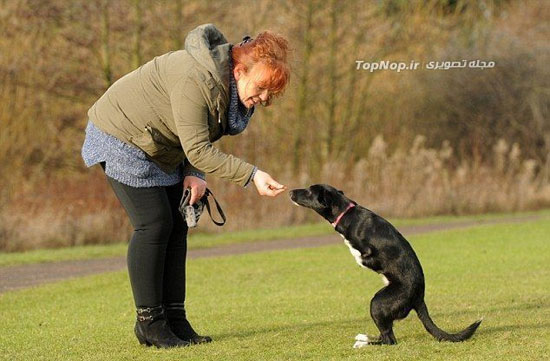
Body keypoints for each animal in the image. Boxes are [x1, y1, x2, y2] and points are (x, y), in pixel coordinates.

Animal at [288, 184, 484, 344]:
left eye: (309, 191)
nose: (290, 192)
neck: (346, 212)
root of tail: (419, 299)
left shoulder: (371, 256)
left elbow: (358, 255)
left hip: (377, 303)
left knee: (389, 339)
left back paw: (363, 343)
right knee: (386, 336)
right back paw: (363, 338)